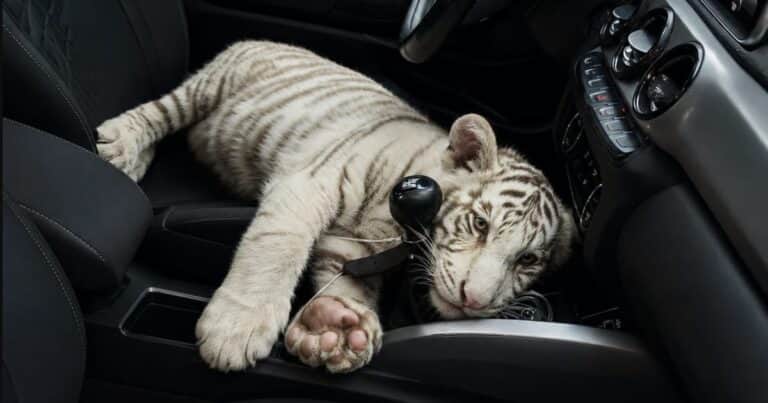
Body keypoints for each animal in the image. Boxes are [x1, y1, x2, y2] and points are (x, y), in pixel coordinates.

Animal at [96, 40, 577, 374]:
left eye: (527, 260)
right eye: (479, 224)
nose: (473, 301)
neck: (396, 226)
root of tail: (268, 39)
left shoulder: (354, 243)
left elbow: (348, 282)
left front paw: (335, 327)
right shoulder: (309, 184)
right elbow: (276, 248)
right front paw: (236, 328)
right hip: (210, 85)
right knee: (161, 111)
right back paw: (121, 146)